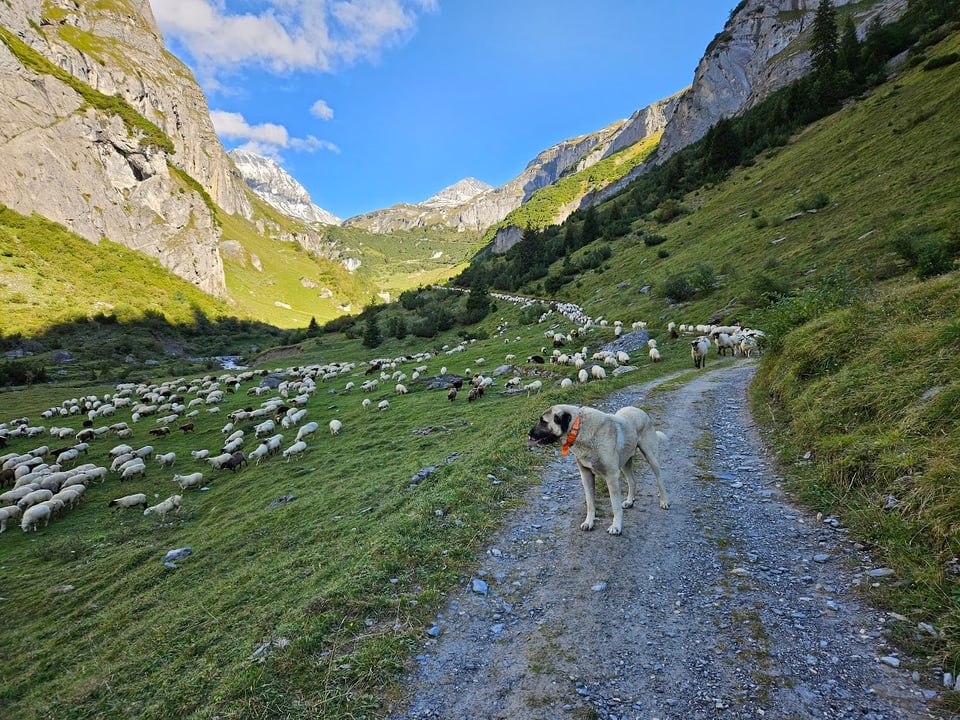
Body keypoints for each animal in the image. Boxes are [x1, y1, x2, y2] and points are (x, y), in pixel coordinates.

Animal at [528, 404, 672, 536]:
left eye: (543, 421)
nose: (528, 434)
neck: (579, 428)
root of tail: (639, 410)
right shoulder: (586, 475)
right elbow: (590, 503)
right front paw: (589, 522)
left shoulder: (612, 476)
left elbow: (615, 505)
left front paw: (616, 526)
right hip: (625, 462)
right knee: (632, 481)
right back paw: (630, 501)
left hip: (651, 457)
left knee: (660, 480)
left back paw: (664, 501)